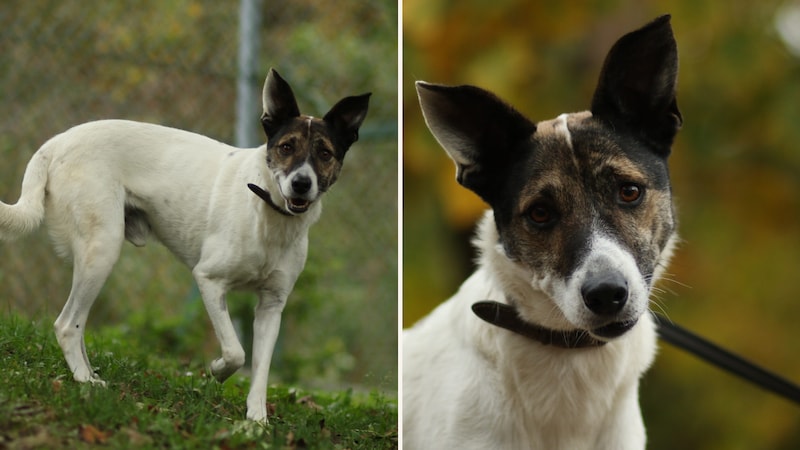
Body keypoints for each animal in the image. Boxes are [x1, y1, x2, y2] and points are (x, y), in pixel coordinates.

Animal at [1, 67, 370, 422]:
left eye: (325, 153)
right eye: (286, 147)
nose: (301, 184)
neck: (266, 209)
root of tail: (56, 143)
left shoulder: (272, 305)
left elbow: (261, 369)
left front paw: (257, 420)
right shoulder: (208, 280)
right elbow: (235, 352)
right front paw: (215, 372)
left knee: (76, 325)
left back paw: (89, 374)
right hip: (102, 249)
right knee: (67, 325)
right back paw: (84, 381)